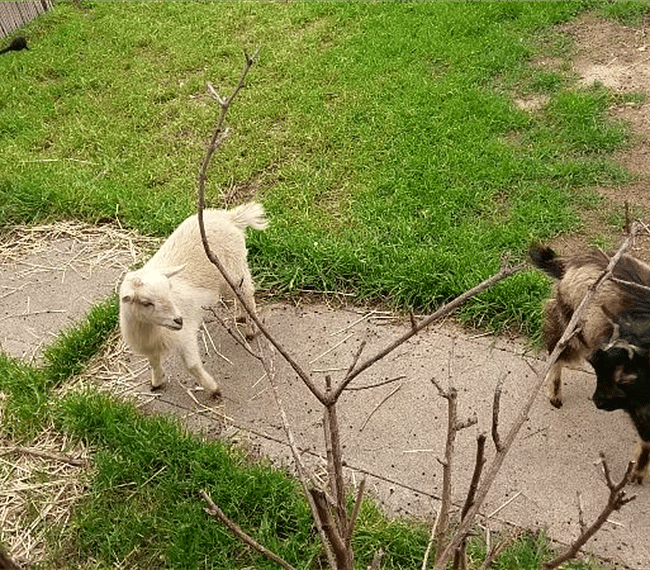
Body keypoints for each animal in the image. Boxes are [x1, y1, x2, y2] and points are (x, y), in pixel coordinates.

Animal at [120, 202, 268, 398]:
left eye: (169, 290)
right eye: (146, 303)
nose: (179, 320)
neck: (150, 329)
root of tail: (229, 217)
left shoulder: (185, 335)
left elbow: (191, 365)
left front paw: (212, 389)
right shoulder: (150, 345)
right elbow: (153, 362)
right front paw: (157, 382)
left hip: (235, 268)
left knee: (246, 293)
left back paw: (251, 329)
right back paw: (241, 317)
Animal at [530, 246, 650, 482]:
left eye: (622, 378)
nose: (598, 402)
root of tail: (568, 263)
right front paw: (637, 474)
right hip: (573, 326)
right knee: (556, 347)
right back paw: (554, 394)